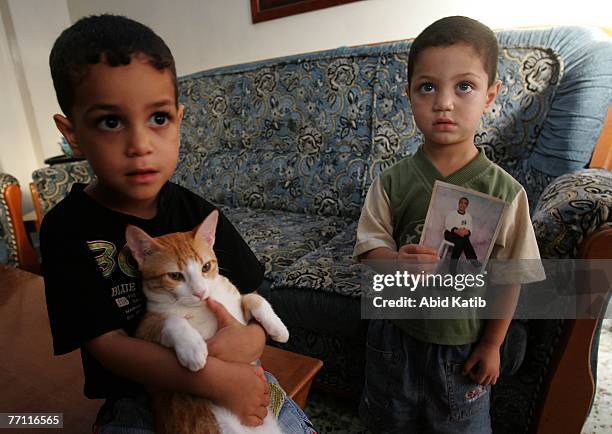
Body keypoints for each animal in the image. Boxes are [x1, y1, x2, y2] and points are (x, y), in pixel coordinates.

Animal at [126, 209, 290, 434]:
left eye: (206, 267)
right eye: (175, 275)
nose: (200, 292)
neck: (201, 306)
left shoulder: (237, 306)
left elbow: (253, 298)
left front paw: (278, 328)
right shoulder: (143, 328)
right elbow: (170, 319)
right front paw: (192, 348)